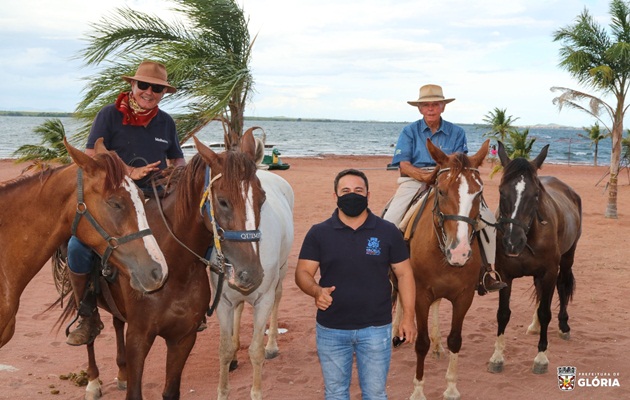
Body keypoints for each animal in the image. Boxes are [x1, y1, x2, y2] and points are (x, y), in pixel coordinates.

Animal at [59, 132, 266, 400]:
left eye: (262, 198)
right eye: (222, 201)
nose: (251, 273)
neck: (175, 269)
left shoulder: (183, 338)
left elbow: (170, 392)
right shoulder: (139, 337)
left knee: (117, 323)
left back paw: (121, 373)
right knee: (91, 337)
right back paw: (93, 380)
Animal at [396, 138, 494, 400]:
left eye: (479, 193)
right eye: (441, 191)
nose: (459, 252)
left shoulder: (464, 296)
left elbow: (455, 340)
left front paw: (451, 388)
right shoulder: (420, 294)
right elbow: (420, 343)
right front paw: (418, 391)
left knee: (438, 306)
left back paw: (437, 343)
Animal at [488, 143, 584, 376]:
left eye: (535, 194)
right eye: (501, 191)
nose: (512, 242)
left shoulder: (549, 272)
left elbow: (546, 311)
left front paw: (541, 357)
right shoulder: (505, 274)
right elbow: (503, 313)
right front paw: (497, 356)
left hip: (567, 259)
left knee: (562, 286)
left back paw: (563, 326)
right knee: (541, 293)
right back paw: (535, 325)